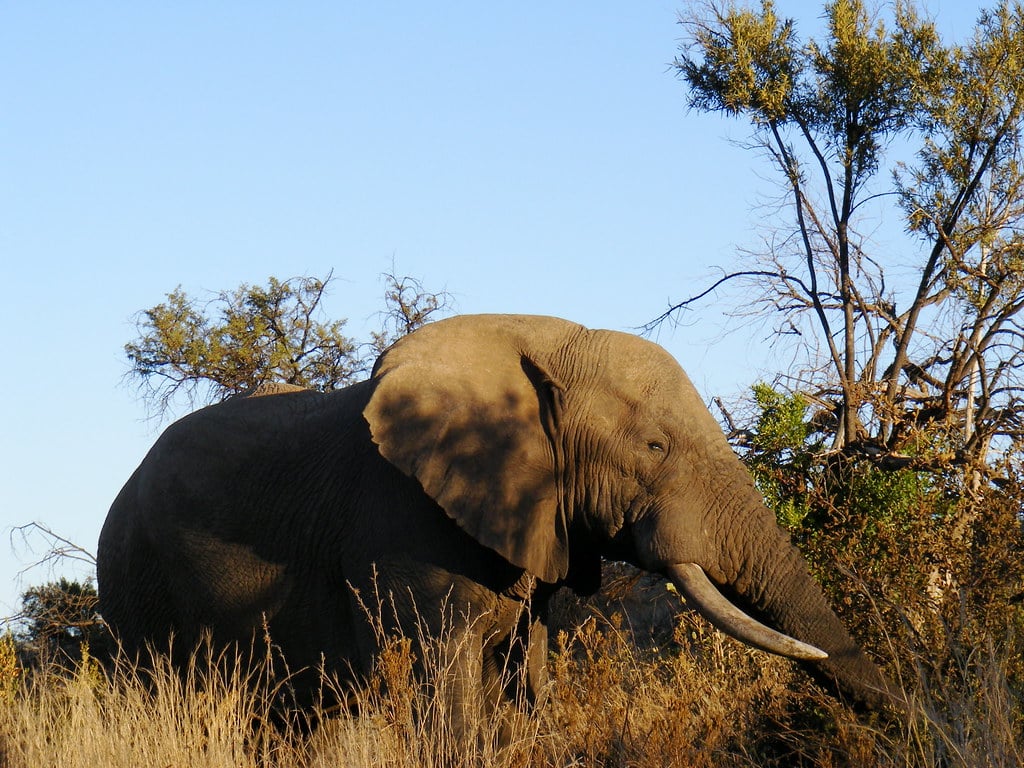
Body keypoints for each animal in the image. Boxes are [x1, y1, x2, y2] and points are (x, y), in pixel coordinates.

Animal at [97, 313, 897, 732]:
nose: (910, 720)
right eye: (654, 448)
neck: (538, 343)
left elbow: (526, 685)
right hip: (136, 591)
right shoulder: (401, 525)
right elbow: (447, 690)